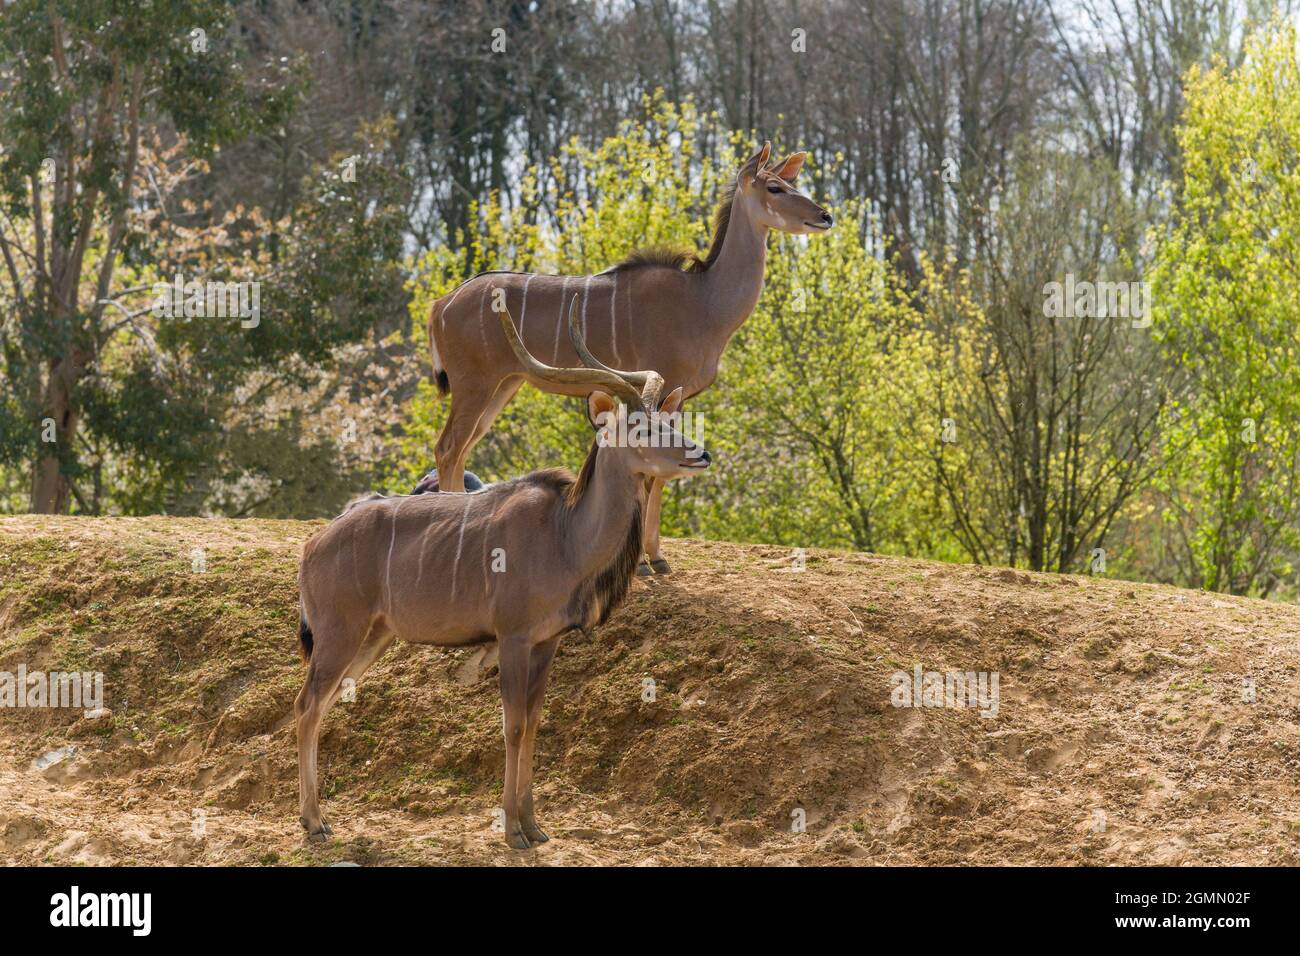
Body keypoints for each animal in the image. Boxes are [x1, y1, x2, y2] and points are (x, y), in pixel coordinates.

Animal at [296, 300, 712, 853]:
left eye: (669, 417)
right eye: (641, 428)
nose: (701, 453)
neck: (564, 534)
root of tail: (313, 545)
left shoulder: (547, 642)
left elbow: (533, 724)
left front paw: (536, 827)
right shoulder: (512, 638)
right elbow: (512, 726)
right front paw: (513, 831)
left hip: (372, 638)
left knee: (317, 706)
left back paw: (316, 820)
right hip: (340, 634)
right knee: (306, 705)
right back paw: (315, 823)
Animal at [428, 143, 832, 574]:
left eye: (792, 182)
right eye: (775, 187)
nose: (825, 216)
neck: (704, 300)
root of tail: (441, 304)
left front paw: (656, 555)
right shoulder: (669, 386)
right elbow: (655, 474)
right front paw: (646, 560)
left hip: (503, 387)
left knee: (461, 449)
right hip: (475, 386)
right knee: (449, 447)